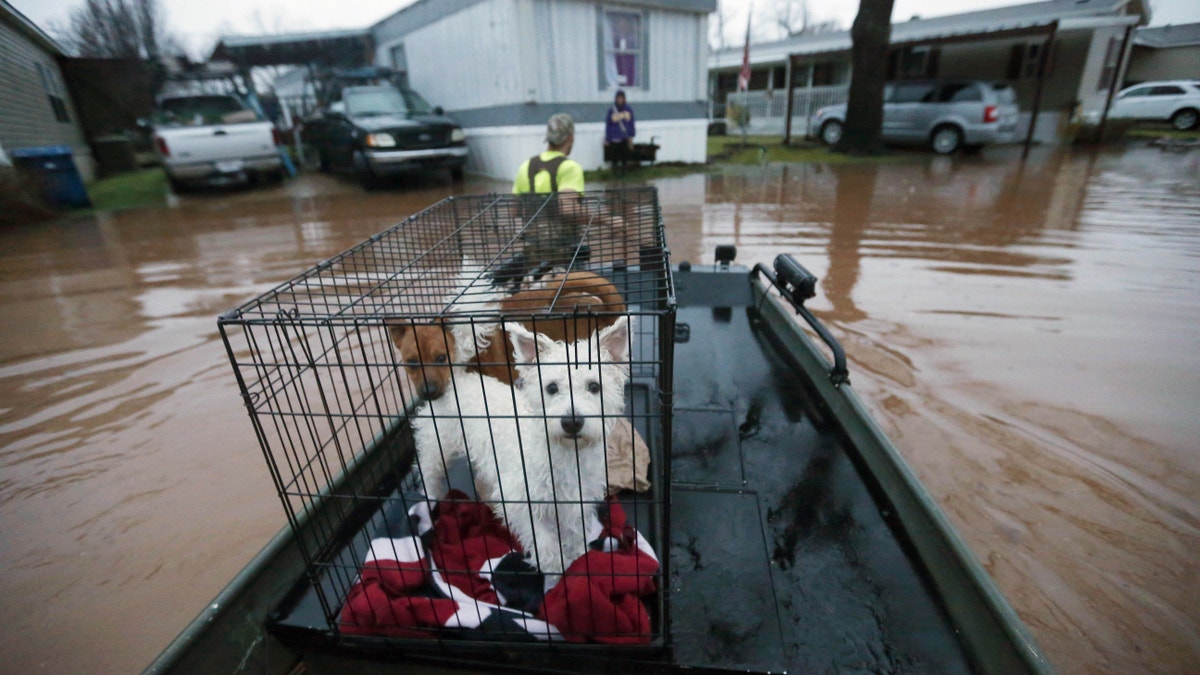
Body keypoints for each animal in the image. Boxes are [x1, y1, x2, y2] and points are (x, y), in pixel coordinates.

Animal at [412, 314, 633, 571]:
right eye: (551, 388)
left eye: (594, 386)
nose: (572, 422)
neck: (564, 453)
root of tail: (456, 380)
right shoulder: (520, 499)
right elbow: (544, 541)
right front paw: (558, 570)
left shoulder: (575, 499)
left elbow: (574, 532)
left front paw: (579, 557)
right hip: (435, 447)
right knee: (428, 476)